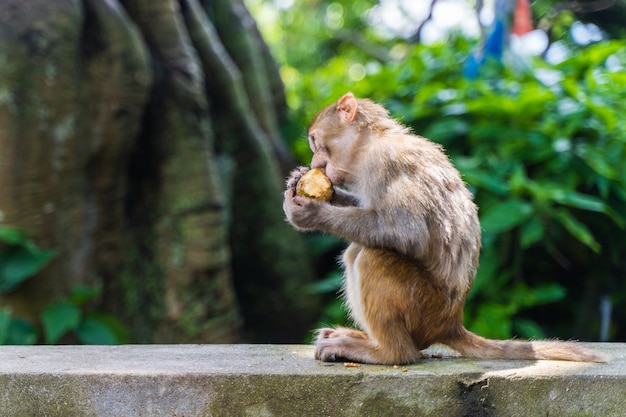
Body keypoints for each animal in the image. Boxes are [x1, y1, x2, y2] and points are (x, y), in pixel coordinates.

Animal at [282, 92, 604, 364]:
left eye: (315, 141)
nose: (314, 162)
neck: (371, 142)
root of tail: (450, 324)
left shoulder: (383, 162)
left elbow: (405, 233)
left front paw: (311, 213)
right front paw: (309, 187)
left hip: (422, 307)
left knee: (372, 255)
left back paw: (389, 353)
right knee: (357, 251)